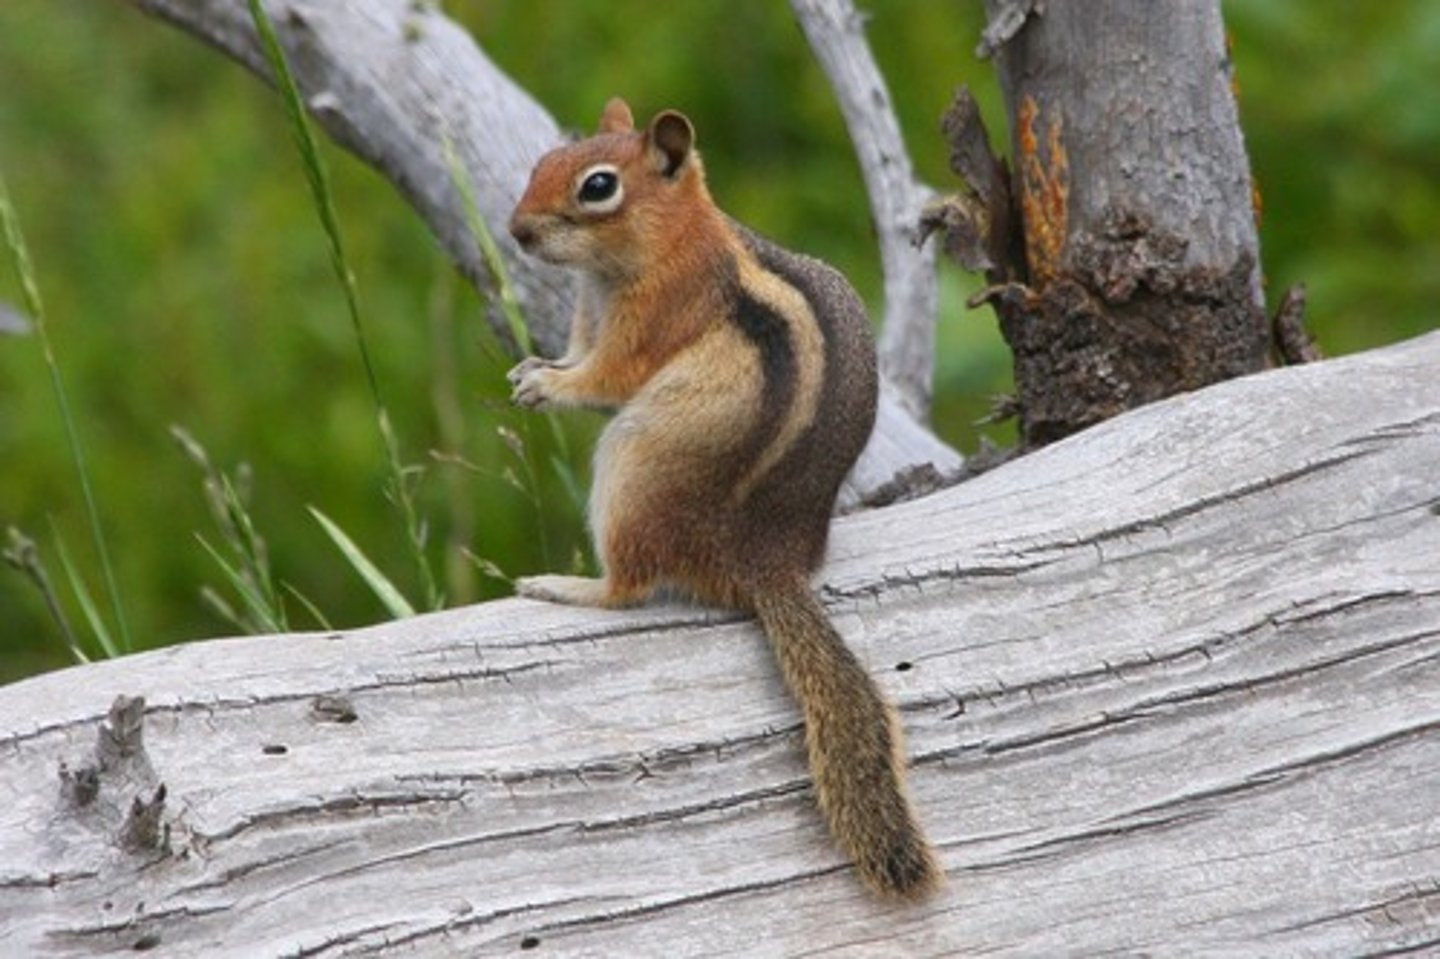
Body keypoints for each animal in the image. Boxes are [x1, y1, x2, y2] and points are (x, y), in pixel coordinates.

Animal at [506, 97, 939, 901]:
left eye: (598, 186)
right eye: (544, 160)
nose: (517, 231)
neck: (669, 240)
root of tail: (765, 563)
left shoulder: (653, 317)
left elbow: (605, 377)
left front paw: (549, 384)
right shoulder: (588, 314)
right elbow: (576, 353)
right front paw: (534, 368)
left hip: (631, 462)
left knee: (631, 584)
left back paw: (563, 585)